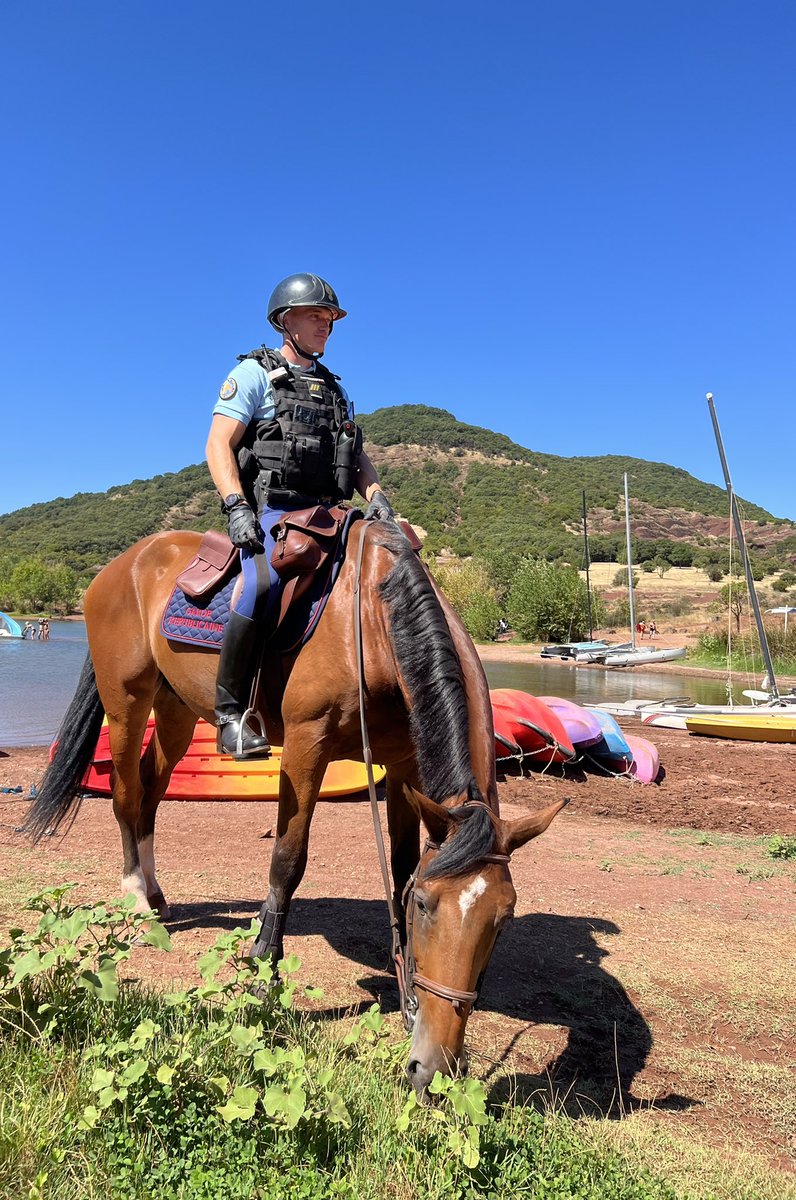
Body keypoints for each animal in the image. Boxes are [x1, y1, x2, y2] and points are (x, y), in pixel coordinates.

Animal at [25, 518, 565, 1094]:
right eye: (427, 906)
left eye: (503, 918)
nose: (436, 1070)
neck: (372, 622)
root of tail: (124, 563)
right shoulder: (307, 746)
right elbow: (288, 859)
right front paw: (263, 970)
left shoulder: (403, 767)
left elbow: (400, 867)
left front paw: (405, 983)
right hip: (126, 699)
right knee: (127, 797)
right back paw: (136, 901)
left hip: (175, 710)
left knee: (150, 793)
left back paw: (156, 894)